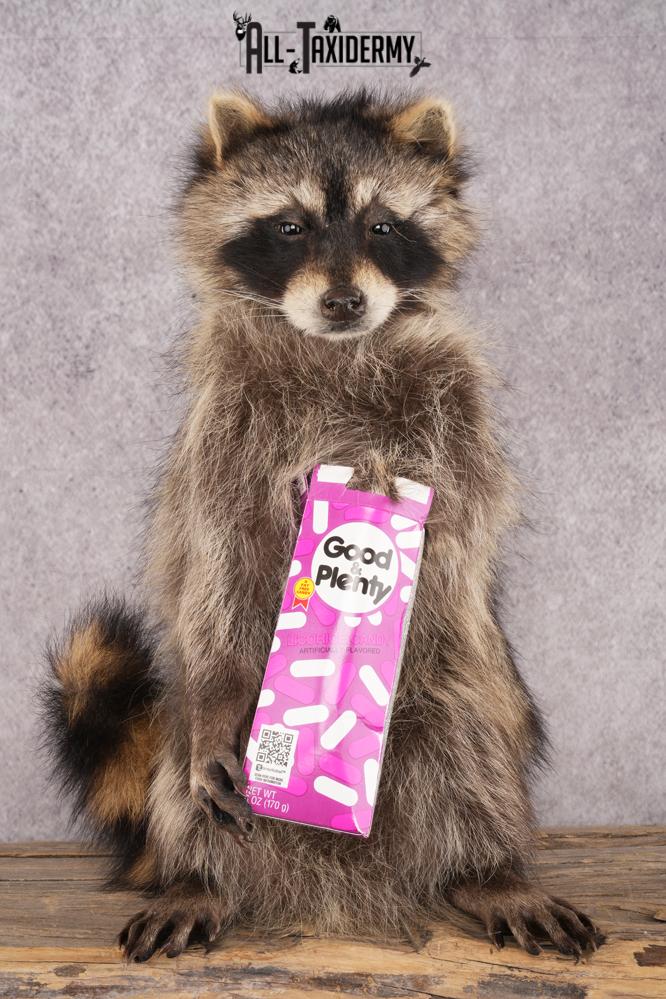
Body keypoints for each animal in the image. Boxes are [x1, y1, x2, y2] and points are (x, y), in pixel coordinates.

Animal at [42, 89, 602, 961]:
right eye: (290, 227)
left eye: (382, 226)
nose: (344, 302)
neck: (338, 347)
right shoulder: (224, 428)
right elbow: (221, 559)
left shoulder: (457, 400)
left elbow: (463, 515)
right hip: (198, 735)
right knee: (189, 766)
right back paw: (199, 877)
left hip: (467, 680)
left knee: (470, 745)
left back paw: (489, 868)